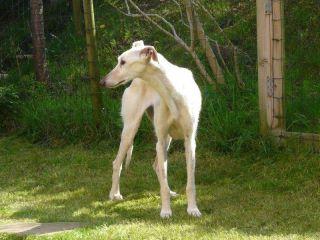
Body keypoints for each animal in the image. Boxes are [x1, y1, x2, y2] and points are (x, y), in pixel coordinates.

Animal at [100, 39, 201, 218]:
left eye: (123, 62)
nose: (102, 82)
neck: (173, 91)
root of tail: (135, 81)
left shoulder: (189, 141)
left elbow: (190, 183)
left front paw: (193, 209)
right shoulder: (159, 139)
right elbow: (163, 181)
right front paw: (166, 211)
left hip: (167, 139)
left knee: (157, 166)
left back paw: (171, 191)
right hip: (131, 130)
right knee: (117, 162)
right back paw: (115, 194)